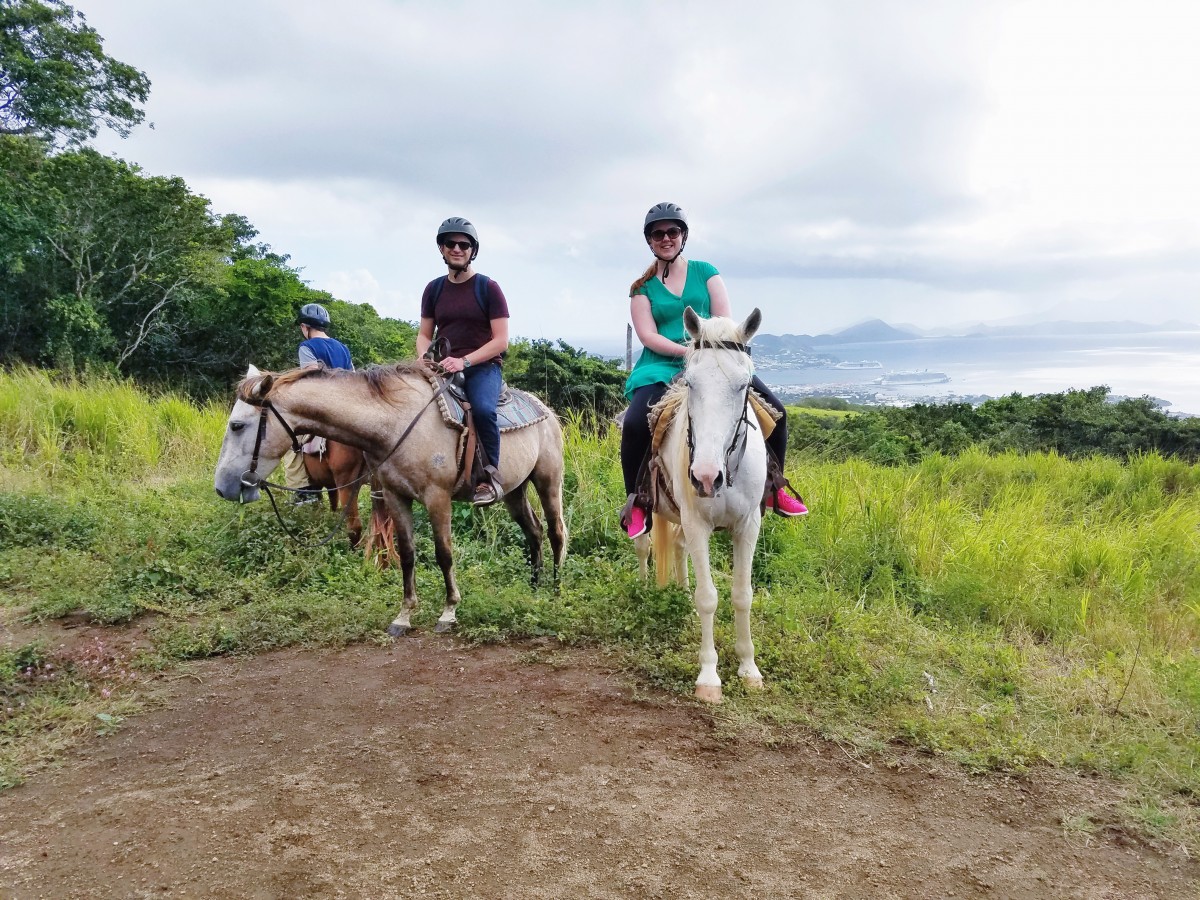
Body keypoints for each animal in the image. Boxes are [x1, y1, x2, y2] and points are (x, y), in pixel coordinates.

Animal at [212, 362, 566, 638]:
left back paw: (555, 592)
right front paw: (404, 616)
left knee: (555, 533)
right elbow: (407, 554)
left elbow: (444, 554)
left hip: (548, 481)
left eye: (237, 425)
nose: (222, 487)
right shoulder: (396, 496)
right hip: (514, 490)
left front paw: (449, 611)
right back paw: (533, 589)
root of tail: (547, 412)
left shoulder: (437, 498)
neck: (396, 424)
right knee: (533, 532)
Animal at [638, 309, 768, 705]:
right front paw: (709, 677)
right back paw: (646, 588)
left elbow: (742, 595)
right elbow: (708, 597)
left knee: (678, 549)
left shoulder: (748, 526)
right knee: (644, 546)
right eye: (691, 383)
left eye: (743, 385)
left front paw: (749, 669)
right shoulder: (698, 524)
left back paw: (680, 594)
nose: (706, 478)